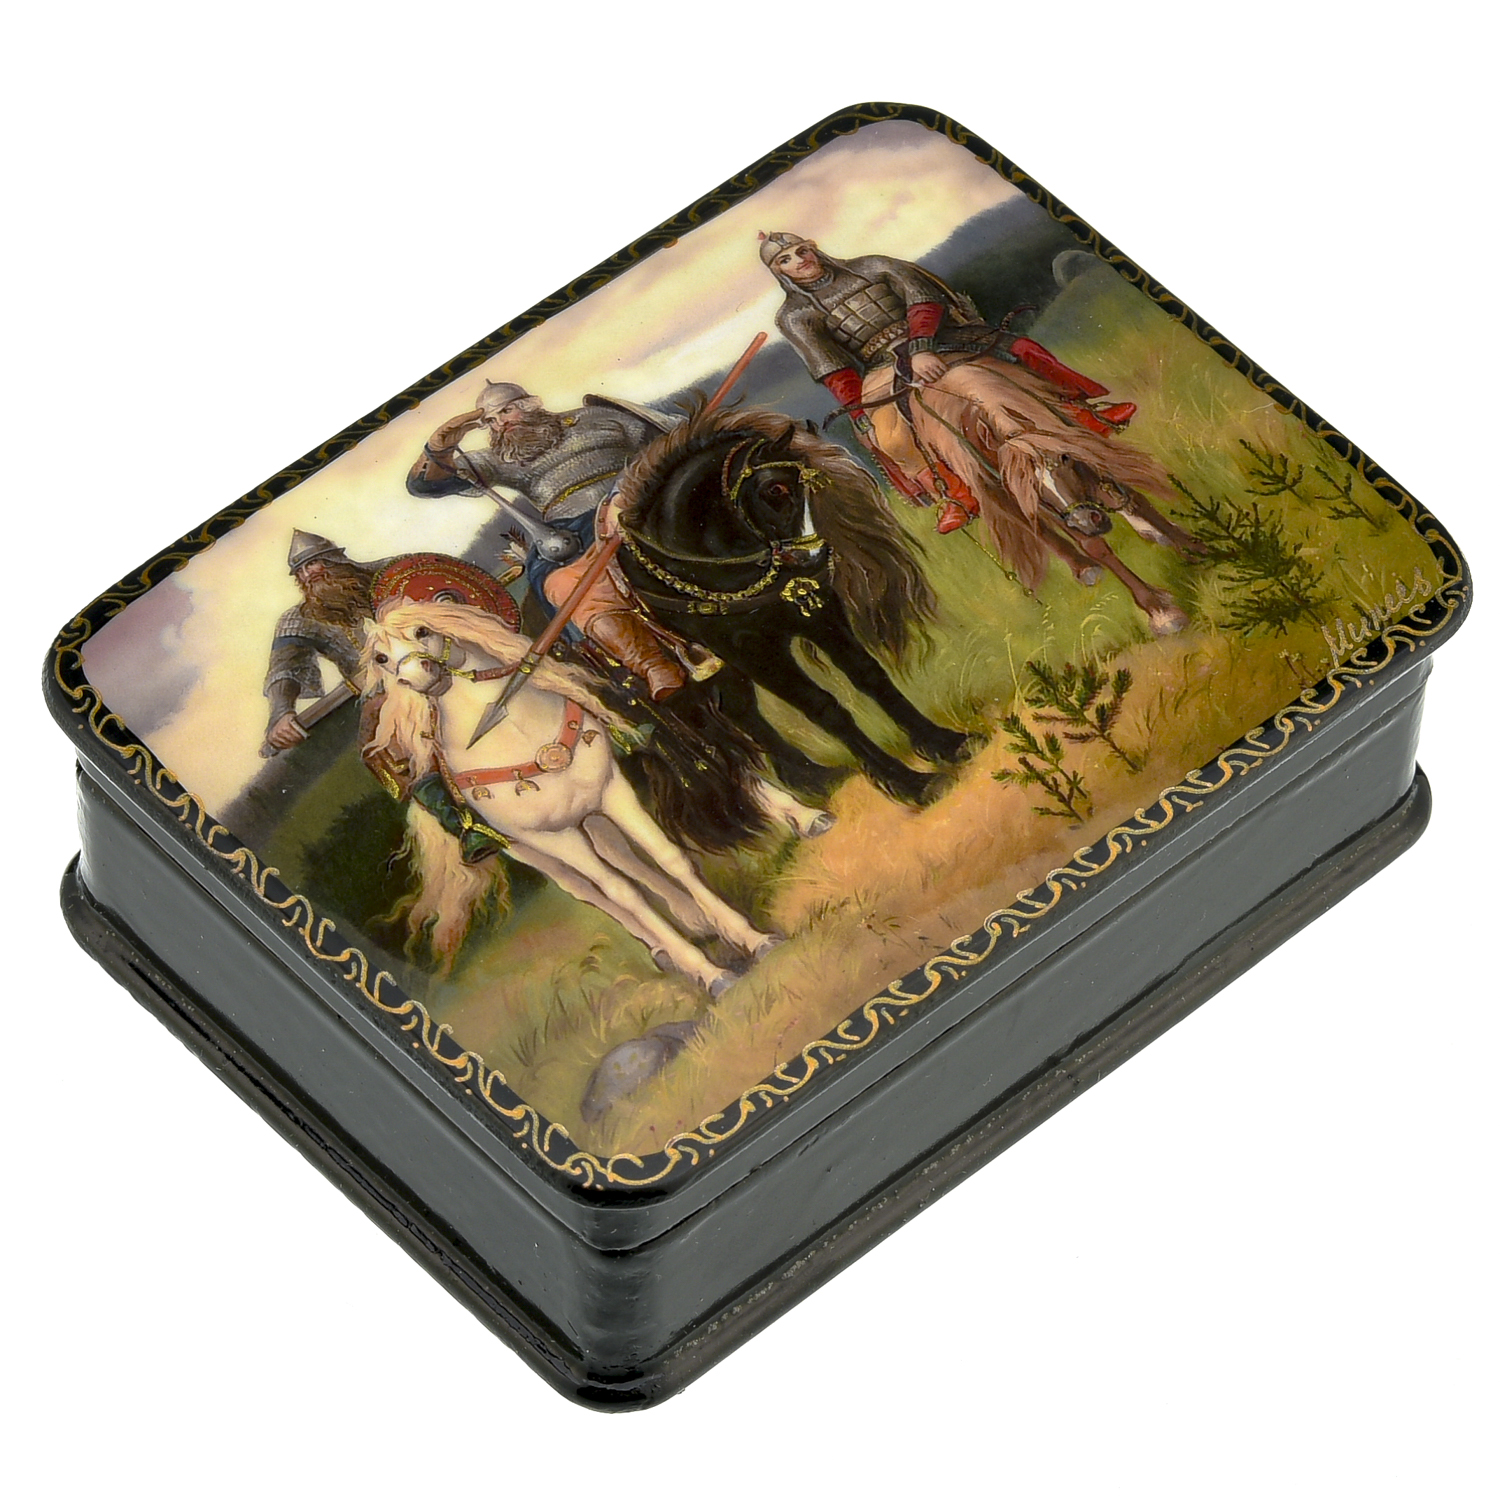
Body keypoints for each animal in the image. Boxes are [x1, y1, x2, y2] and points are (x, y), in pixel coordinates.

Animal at [359, 599, 779, 993]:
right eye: (381, 658)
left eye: (422, 630)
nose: (418, 677)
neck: (509, 731)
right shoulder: (553, 837)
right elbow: (619, 892)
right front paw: (711, 973)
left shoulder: (612, 791)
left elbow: (670, 858)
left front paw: (749, 936)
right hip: (530, 851)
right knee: (587, 890)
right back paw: (667, 950)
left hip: (587, 816)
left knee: (619, 853)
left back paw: (692, 917)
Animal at [613, 403, 980, 808]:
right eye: (774, 489)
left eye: (811, 484)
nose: (812, 559)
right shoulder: (751, 651)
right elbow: (823, 707)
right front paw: (907, 781)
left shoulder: (820, 614)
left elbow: (870, 675)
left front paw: (943, 742)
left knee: (740, 712)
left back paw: (811, 778)